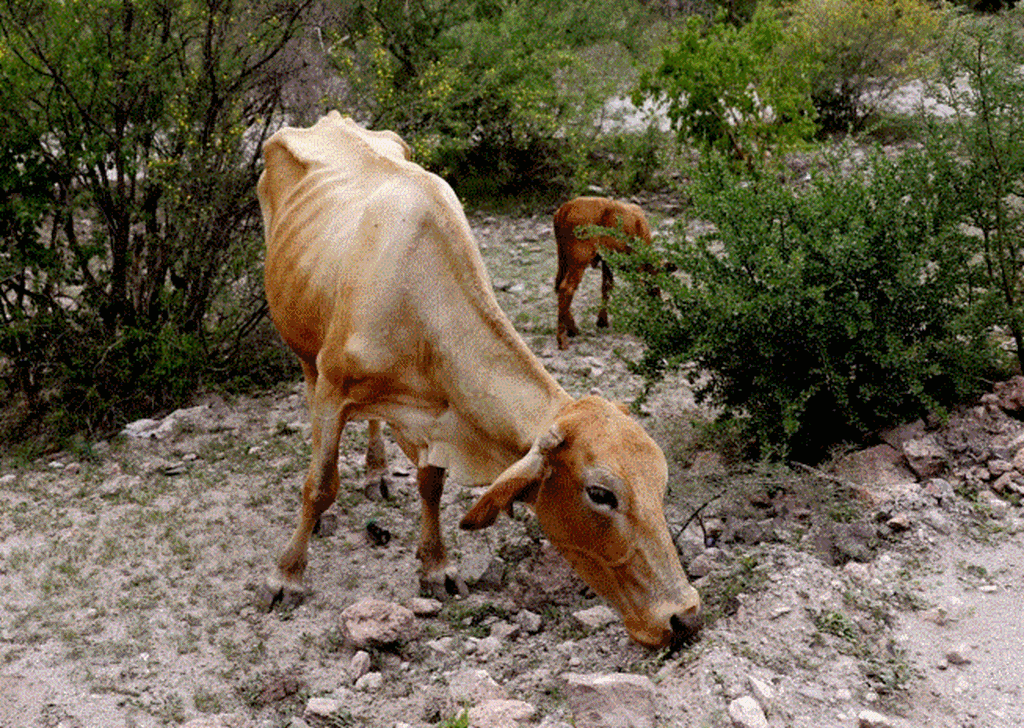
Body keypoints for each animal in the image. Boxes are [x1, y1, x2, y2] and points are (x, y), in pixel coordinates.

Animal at [557, 196, 651, 350]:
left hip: (563, 260)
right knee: (566, 288)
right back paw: (562, 338)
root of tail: (566, 207)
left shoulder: (607, 262)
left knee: (559, 287)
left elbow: (606, 287)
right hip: (579, 261)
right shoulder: (637, 263)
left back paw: (571, 329)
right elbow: (640, 287)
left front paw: (602, 320)